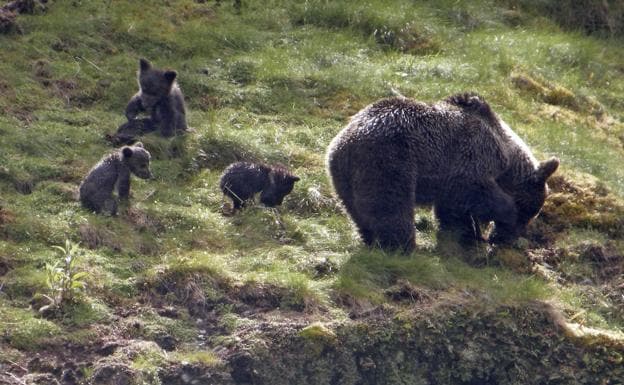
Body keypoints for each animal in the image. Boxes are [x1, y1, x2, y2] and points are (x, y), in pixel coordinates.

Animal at [326, 93, 560, 252]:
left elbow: (452, 208)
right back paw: (401, 245)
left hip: (342, 176)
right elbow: (474, 189)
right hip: (389, 160)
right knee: (391, 205)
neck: (506, 154)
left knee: (357, 210)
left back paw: (369, 237)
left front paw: (463, 234)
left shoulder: (450, 177)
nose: (503, 238)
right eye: (527, 212)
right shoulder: (472, 155)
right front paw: (502, 213)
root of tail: (346, 141)